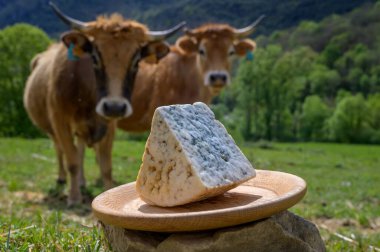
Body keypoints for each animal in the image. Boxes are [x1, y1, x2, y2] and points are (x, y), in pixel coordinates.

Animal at [23, 2, 184, 205]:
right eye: (95, 56)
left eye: (136, 60)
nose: (114, 106)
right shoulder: (60, 119)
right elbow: (72, 160)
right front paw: (74, 197)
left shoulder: (110, 123)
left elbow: (105, 165)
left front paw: (106, 192)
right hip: (51, 127)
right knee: (60, 150)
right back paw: (62, 180)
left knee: (80, 148)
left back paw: (82, 182)